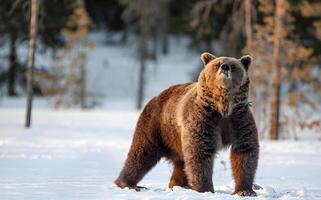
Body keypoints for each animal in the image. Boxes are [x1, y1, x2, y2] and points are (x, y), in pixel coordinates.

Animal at [114, 52, 258, 196]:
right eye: (217, 64)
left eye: (233, 65)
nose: (225, 67)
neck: (222, 107)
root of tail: (155, 96)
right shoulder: (205, 119)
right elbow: (200, 151)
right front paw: (205, 189)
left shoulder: (238, 120)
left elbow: (245, 151)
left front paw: (245, 190)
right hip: (156, 124)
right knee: (141, 152)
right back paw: (128, 184)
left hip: (175, 138)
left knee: (180, 162)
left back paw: (179, 185)